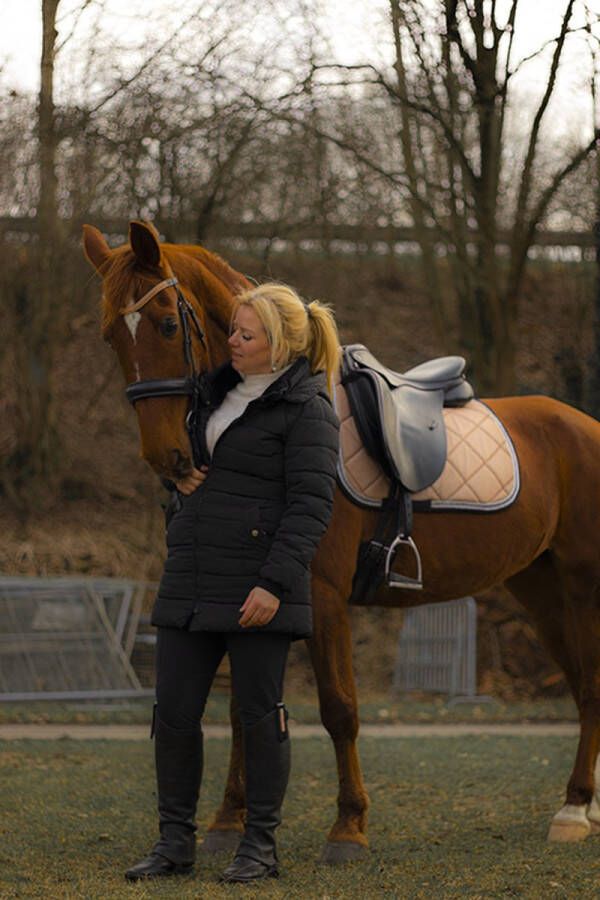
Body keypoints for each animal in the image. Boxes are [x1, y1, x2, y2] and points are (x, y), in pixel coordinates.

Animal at [83, 221, 600, 860]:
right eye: (111, 336)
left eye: (166, 325)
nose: (167, 458)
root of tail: (583, 426)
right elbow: (242, 710)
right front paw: (228, 822)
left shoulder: (321, 596)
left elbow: (339, 708)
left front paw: (349, 826)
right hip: (541, 589)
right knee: (580, 683)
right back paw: (585, 805)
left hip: (582, 586)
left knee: (592, 686)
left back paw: (574, 809)